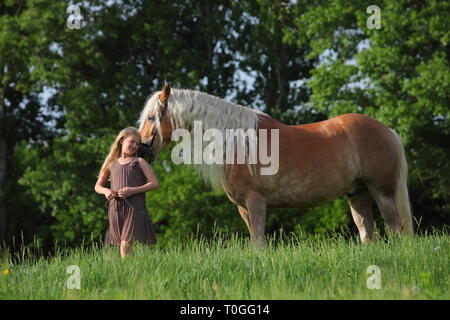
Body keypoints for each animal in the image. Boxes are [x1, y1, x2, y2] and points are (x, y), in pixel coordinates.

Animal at [138, 83, 414, 248]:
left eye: (151, 117)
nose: (141, 150)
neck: (236, 141)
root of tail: (387, 130)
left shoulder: (256, 201)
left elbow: (259, 242)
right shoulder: (244, 208)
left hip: (382, 191)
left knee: (396, 228)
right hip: (357, 194)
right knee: (367, 232)